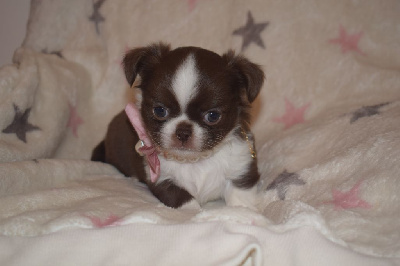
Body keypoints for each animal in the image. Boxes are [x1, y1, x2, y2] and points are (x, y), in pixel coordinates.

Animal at [92, 42, 264, 209]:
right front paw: (194, 211)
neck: (195, 161)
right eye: (159, 111)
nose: (183, 131)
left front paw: (243, 212)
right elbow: (184, 200)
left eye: (213, 116)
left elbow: (240, 198)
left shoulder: (240, 169)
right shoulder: (161, 179)